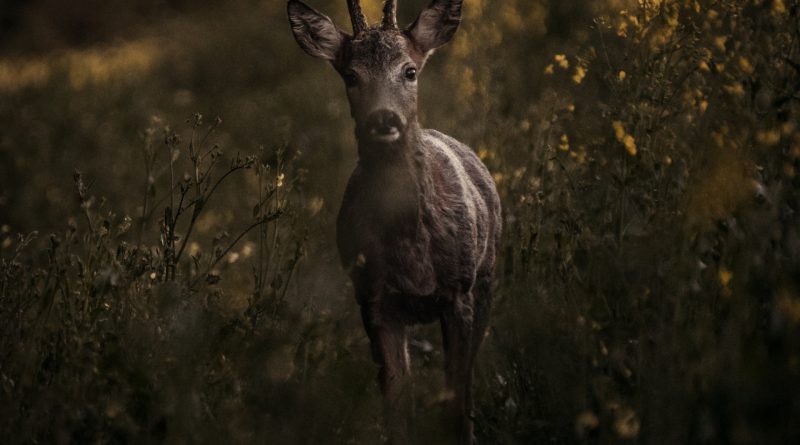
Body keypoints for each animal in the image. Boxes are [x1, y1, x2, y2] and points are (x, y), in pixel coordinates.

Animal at [288, 1, 500, 442]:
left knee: (469, 382)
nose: (384, 119)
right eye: (351, 75)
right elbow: (396, 407)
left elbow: (455, 399)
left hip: (486, 278)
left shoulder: (459, 290)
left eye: (410, 71)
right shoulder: (373, 300)